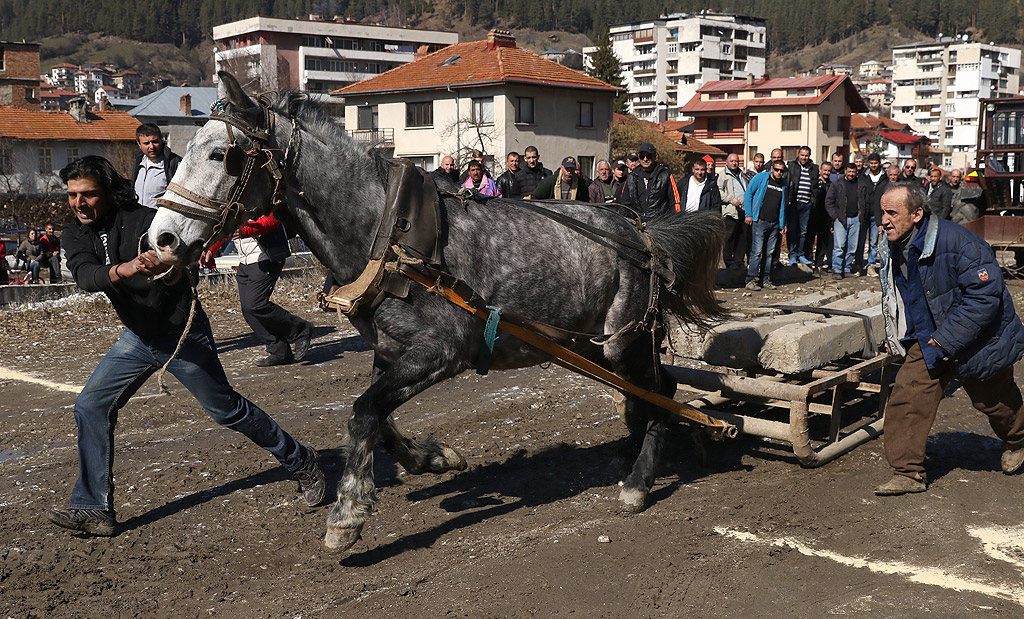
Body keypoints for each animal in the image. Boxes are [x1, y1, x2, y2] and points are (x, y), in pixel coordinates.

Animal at [148, 72, 724, 549]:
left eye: (222, 154)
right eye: (185, 150)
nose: (160, 239)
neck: (388, 235)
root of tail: (642, 233)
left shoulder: (441, 351)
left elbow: (363, 413)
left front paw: (347, 514)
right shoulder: (390, 350)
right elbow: (377, 417)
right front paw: (434, 458)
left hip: (625, 340)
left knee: (661, 395)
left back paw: (638, 482)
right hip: (596, 344)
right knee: (653, 393)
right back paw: (630, 450)